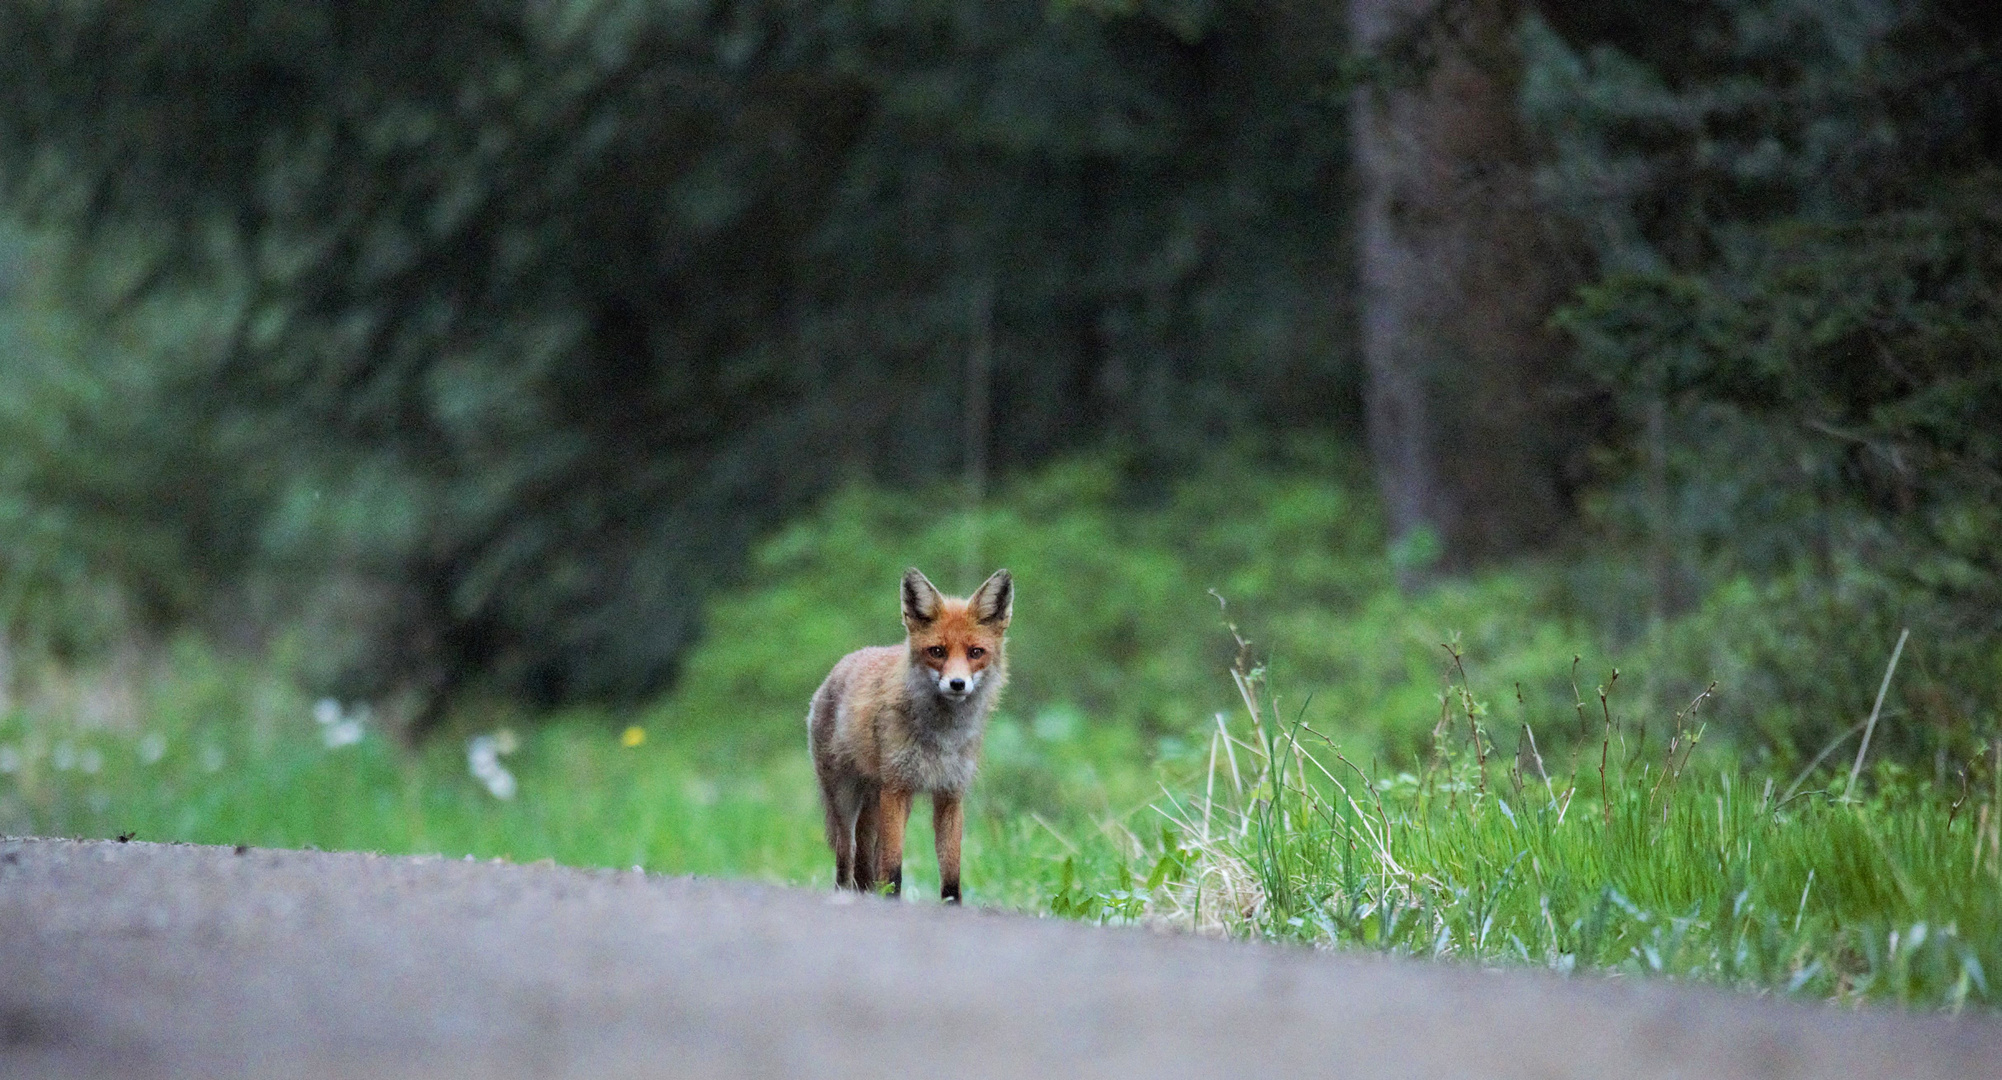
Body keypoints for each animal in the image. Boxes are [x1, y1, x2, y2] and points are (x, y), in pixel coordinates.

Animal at [804, 565, 1009, 905]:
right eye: (937, 651)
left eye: (975, 652)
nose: (957, 684)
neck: (941, 736)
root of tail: (840, 666)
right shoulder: (896, 790)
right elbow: (893, 867)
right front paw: (891, 899)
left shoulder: (950, 794)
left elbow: (951, 872)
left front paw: (952, 907)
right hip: (847, 798)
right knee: (847, 855)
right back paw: (846, 893)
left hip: (881, 799)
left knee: (864, 856)